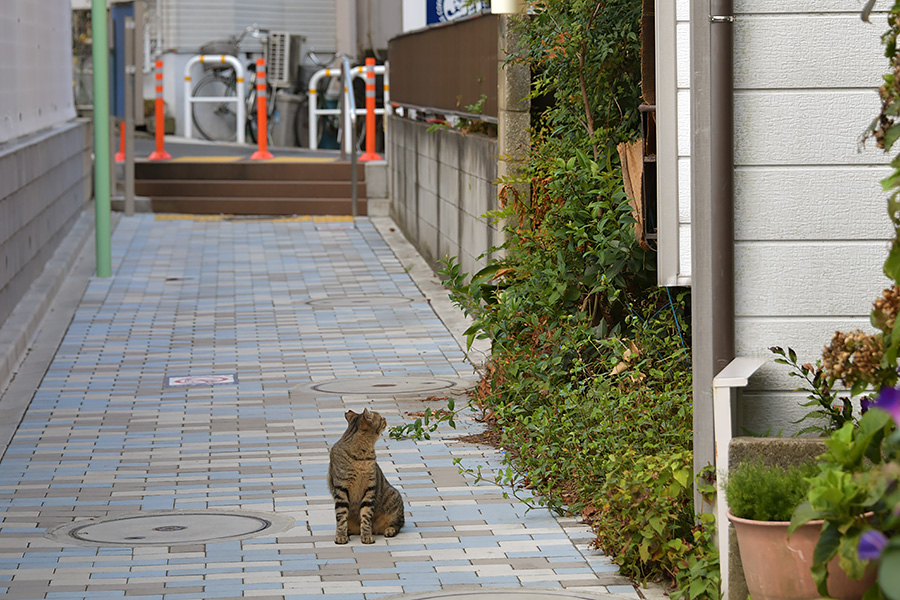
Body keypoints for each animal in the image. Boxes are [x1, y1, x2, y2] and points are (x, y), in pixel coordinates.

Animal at [326, 408, 404, 544]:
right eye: (381, 418)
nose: (385, 418)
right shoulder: (341, 489)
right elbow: (341, 517)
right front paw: (340, 536)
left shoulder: (370, 488)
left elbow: (366, 516)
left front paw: (366, 536)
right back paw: (348, 531)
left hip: (394, 499)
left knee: (398, 524)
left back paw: (389, 530)